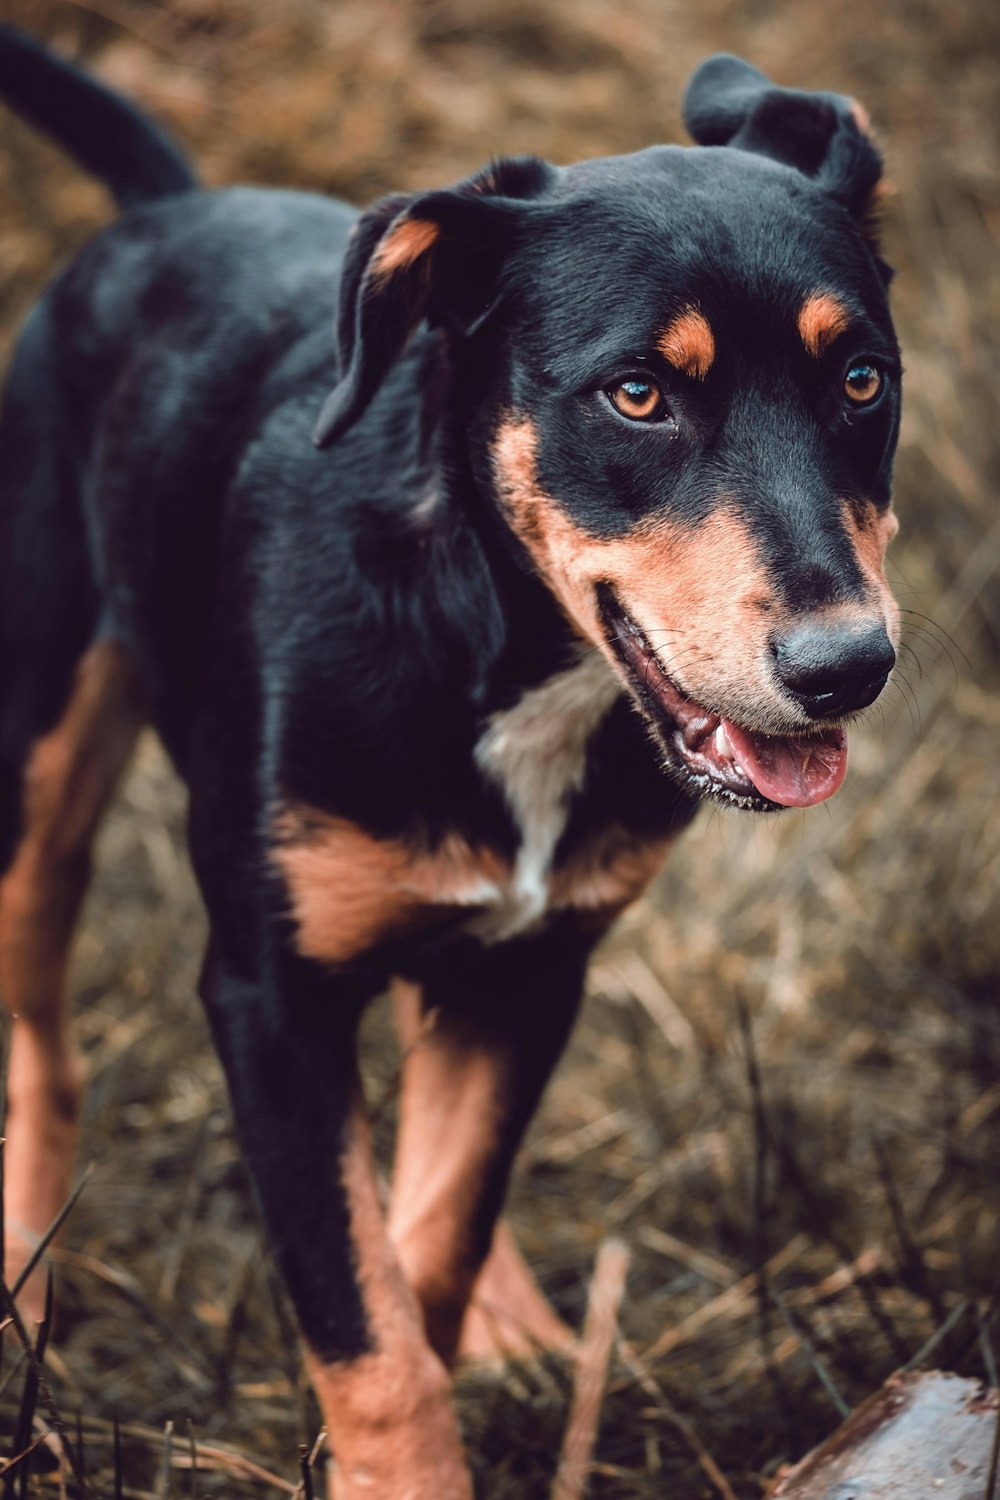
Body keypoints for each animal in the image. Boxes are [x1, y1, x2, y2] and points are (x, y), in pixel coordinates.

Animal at [0, 35, 905, 1500]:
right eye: (637, 395)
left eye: (862, 381)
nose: (848, 666)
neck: (503, 651)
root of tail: (168, 206)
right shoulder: (268, 997)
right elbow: (365, 1320)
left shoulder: (533, 973)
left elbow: (429, 1243)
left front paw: (462, 1334)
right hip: (37, 769)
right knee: (40, 1039)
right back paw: (23, 1272)